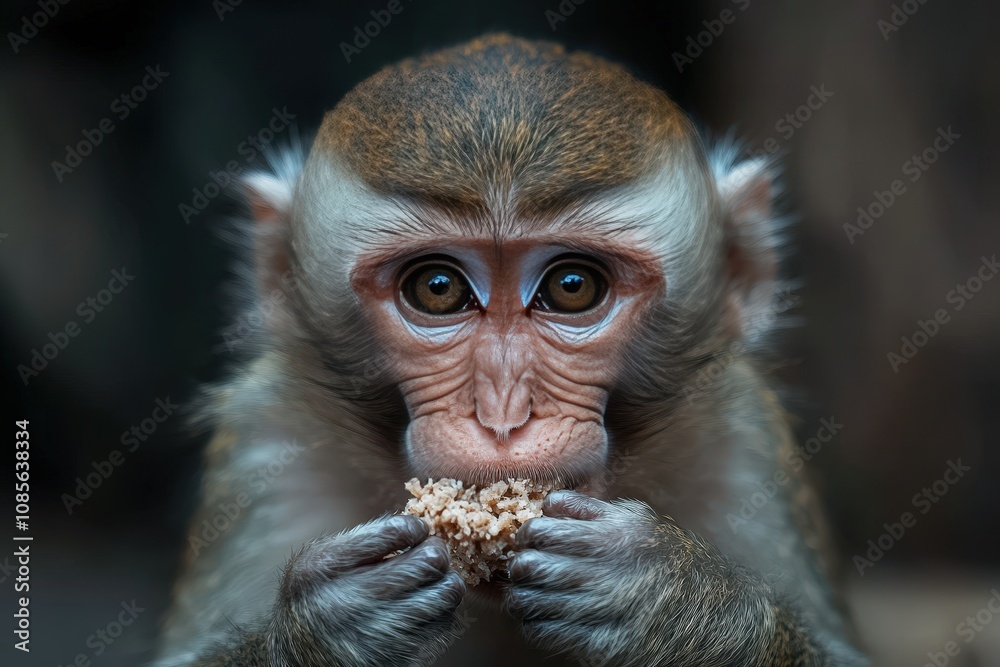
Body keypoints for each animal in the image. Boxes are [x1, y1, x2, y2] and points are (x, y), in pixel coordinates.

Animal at [155, 34, 868, 667]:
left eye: (572, 286)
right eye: (437, 288)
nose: (502, 416)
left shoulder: (744, 444)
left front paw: (672, 601)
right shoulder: (265, 446)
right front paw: (326, 624)